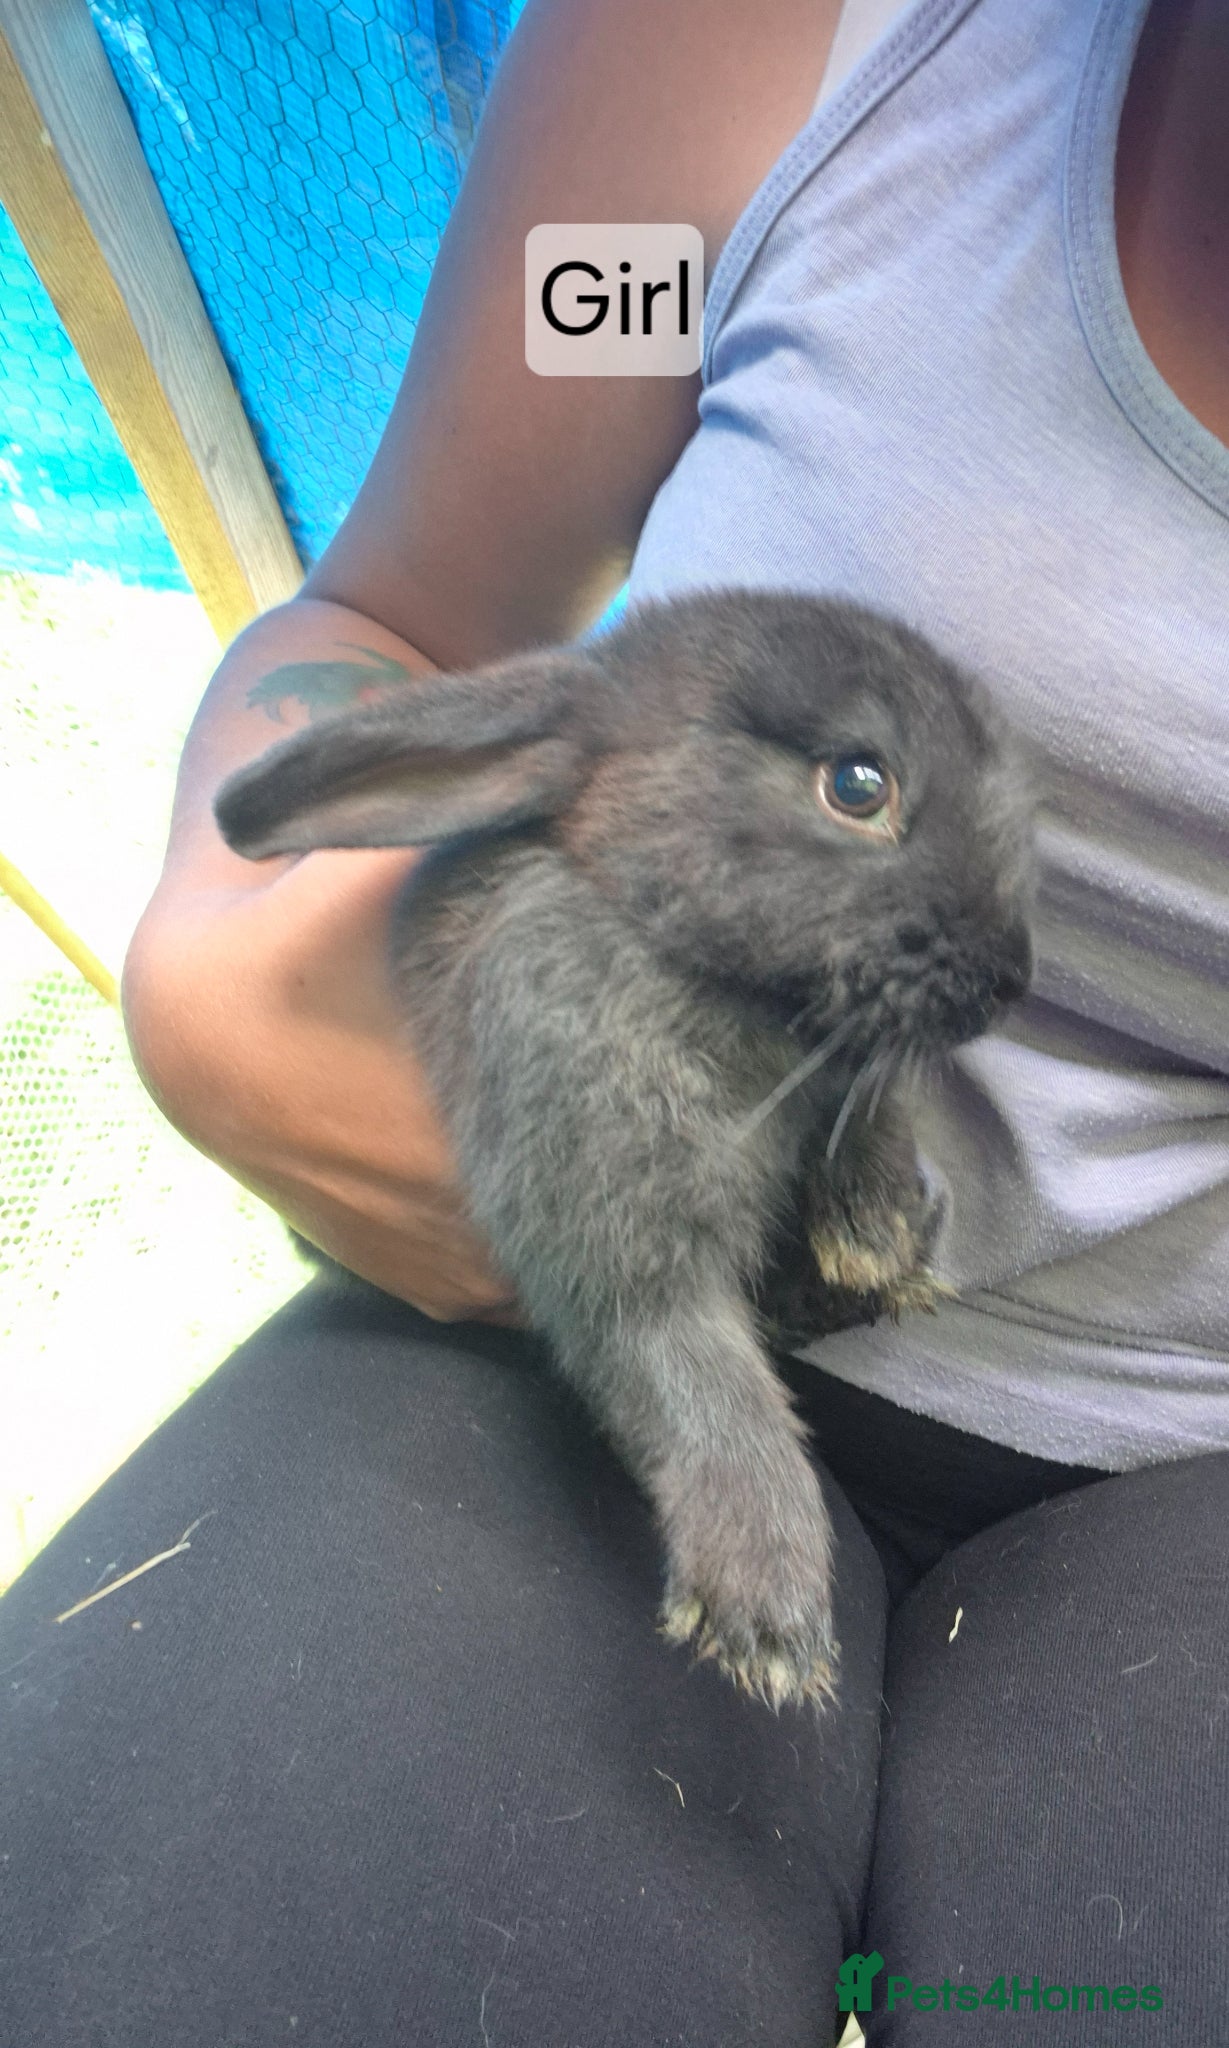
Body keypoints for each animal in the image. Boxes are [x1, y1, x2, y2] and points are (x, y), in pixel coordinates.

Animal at [214, 589, 1035, 1711]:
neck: (698, 968)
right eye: (858, 783)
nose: (1013, 978)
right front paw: (767, 1616)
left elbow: (872, 1107)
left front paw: (873, 1241)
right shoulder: (611, 1232)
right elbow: (691, 1374)